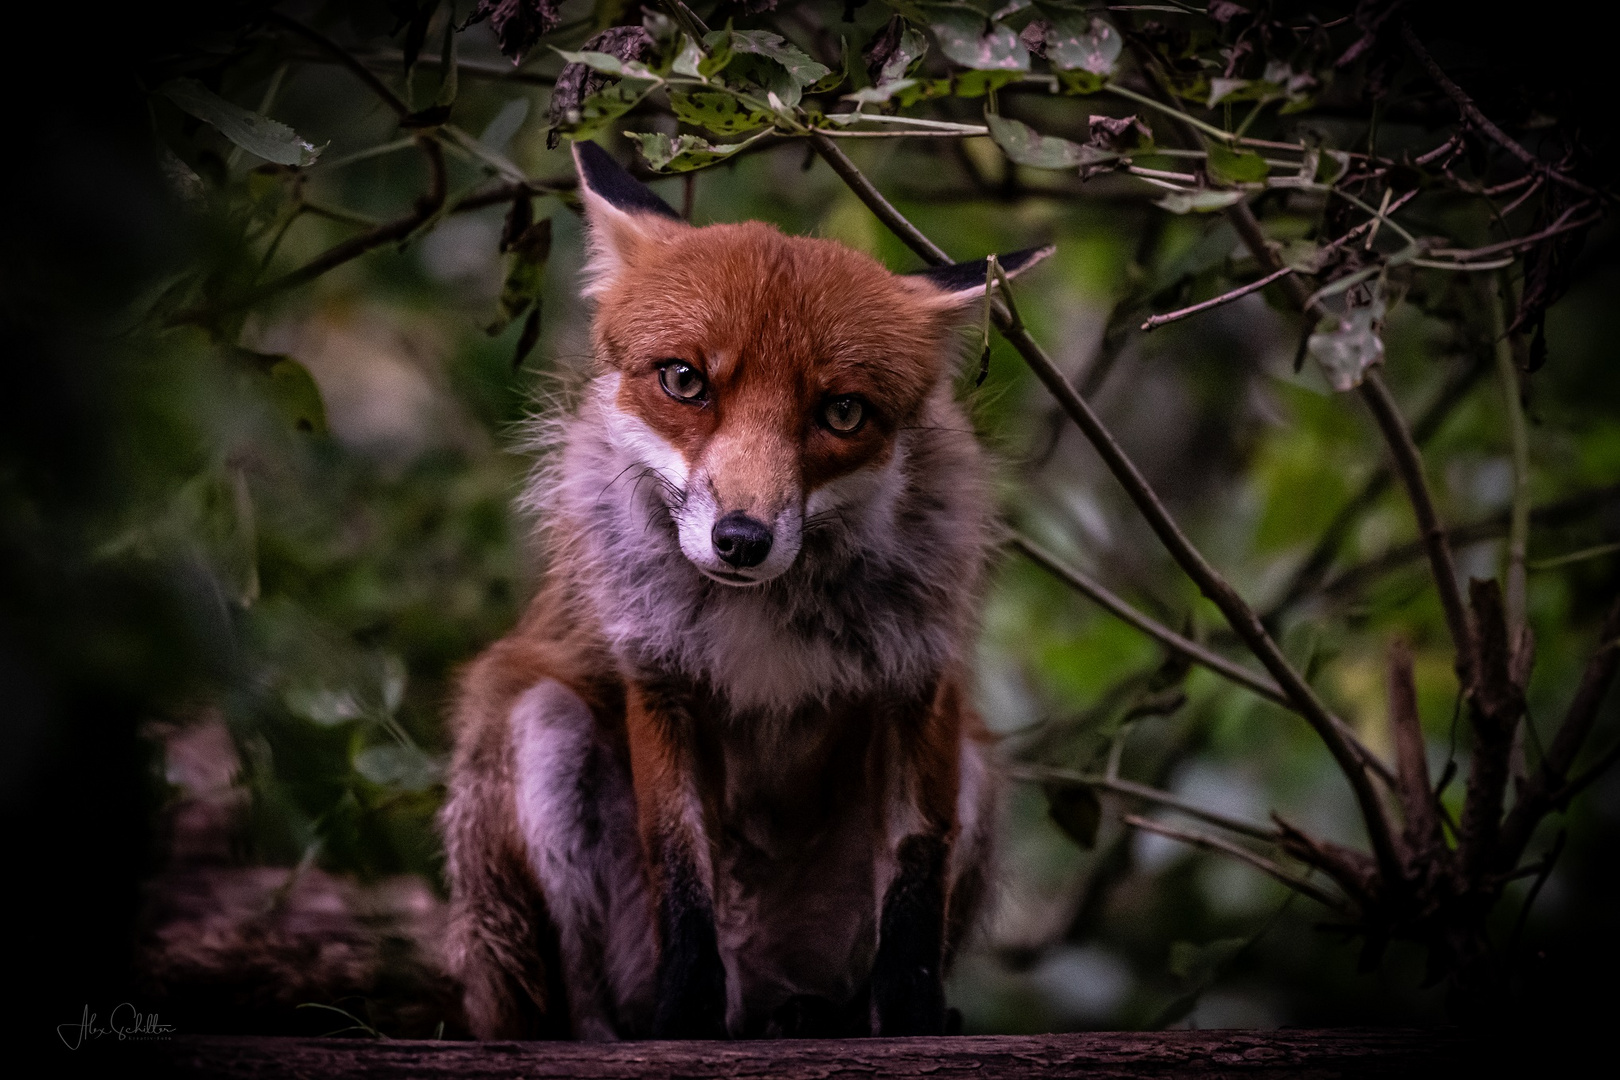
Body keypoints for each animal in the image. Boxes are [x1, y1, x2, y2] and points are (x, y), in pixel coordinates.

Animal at [440, 139, 1049, 1042]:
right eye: (686, 381)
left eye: (841, 412)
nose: (741, 539)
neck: (761, 621)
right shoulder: (660, 680)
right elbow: (682, 872)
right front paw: (682, 1022)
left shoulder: (918, 682)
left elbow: (913, 886)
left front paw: (909, 1021)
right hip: (540, 732)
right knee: (576, 1005)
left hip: (972, 771)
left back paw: (821, 1021)